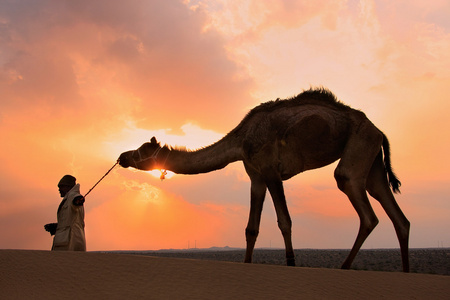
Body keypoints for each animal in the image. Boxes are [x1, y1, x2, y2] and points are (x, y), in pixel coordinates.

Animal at [118, 87, 410, 272]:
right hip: (372, 159)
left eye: (142, 149)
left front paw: (291, 263)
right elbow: (251, 228)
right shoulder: (255, 176)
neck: (241, 140)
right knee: (397, 215)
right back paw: (405, 272)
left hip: (358, 148)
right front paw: (248, 264)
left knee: (361, 204)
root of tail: (380, 131)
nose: (122, 156)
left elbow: (285, 221)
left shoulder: (271, 170)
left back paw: (345, 267)